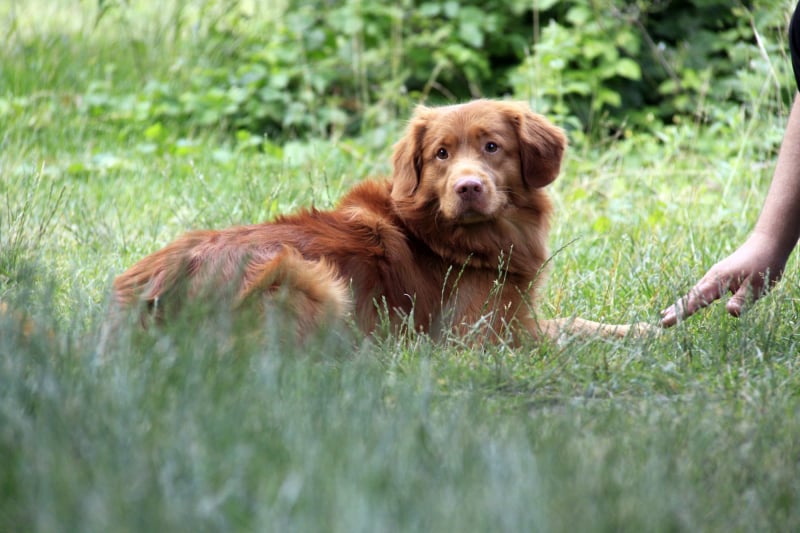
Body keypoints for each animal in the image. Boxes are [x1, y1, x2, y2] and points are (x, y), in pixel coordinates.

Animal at [111, 100, 647, 344]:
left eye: (492, 146)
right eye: (441, 154)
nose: (468, 188)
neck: (441, 235)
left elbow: (579, 321)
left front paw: (644, 327)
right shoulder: (486, 336)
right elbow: (568, 332)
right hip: (310, 280)